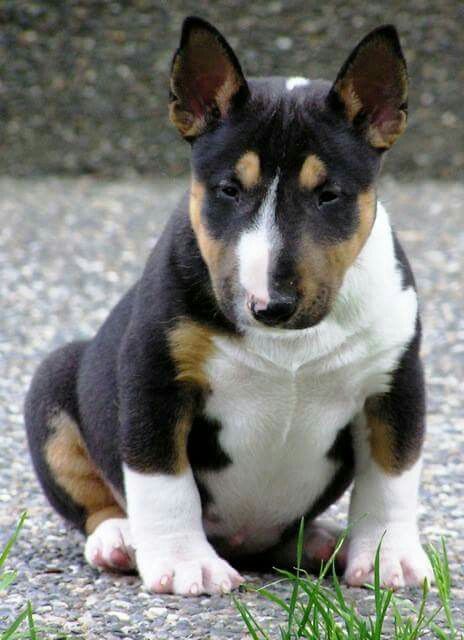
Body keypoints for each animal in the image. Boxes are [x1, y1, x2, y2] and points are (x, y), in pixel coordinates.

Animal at [25, 16, 434, 596]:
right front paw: (184, 565)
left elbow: (392, 477)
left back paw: (320, 541)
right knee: (95, 501)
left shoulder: (395, 383)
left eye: (329, 195)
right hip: (53, 382)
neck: (289, 346)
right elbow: (162, 479)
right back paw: (120, 540)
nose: (269, 306)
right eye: (228, 190)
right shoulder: (155, 375)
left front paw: (387, 558)